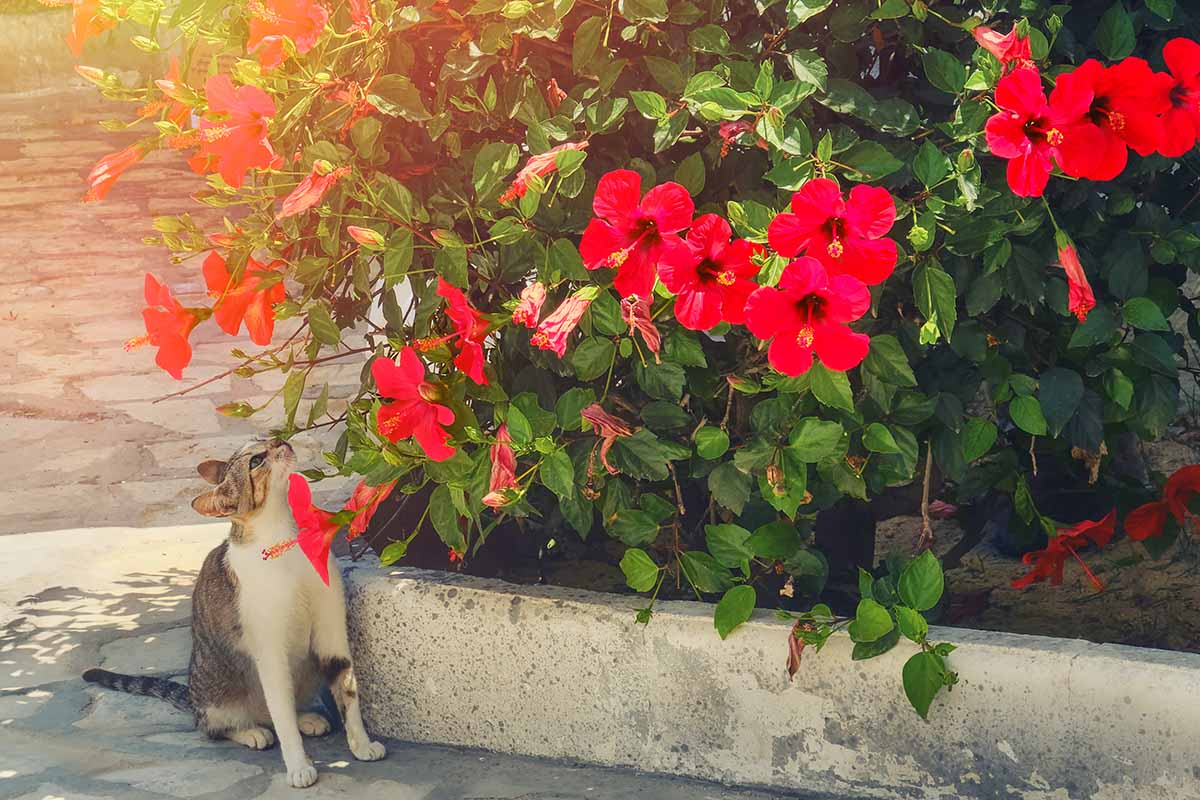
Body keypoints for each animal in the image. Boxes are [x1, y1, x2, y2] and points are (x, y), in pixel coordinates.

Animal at [82, 438, 381, 786]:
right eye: (255, 461)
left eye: (265, 441)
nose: (280, 440)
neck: (286, 542)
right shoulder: (269, 651)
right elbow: (281, 714)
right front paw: (298, 766)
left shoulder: (331, 632)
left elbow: (348, 692)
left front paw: (362, 745)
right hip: (217, 695)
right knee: (215, 726)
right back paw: (251, 732)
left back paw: (306, 719)